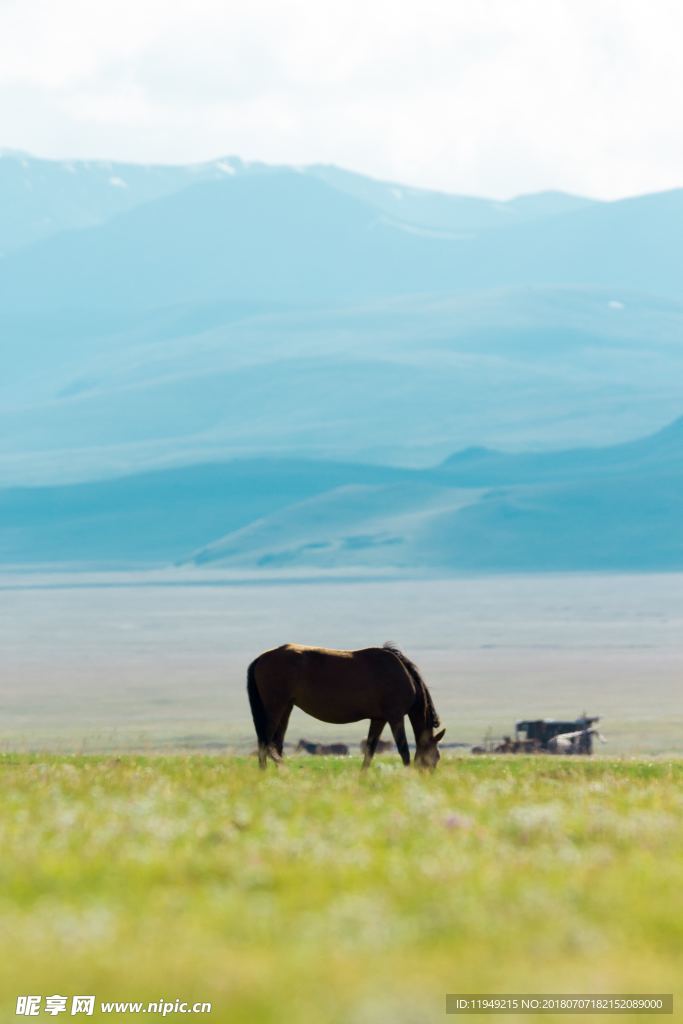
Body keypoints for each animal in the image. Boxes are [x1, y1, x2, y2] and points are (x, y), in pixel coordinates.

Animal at [244, 638, 444, 770]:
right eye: (436, 758)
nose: (428, 778)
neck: (403, 675)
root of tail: (261, 658)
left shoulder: (378, 719)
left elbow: (370, 751)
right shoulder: (395, 717)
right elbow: (403, 751)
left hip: (286, 708)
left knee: (275, 745)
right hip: (274, 708)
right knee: (265, 743)